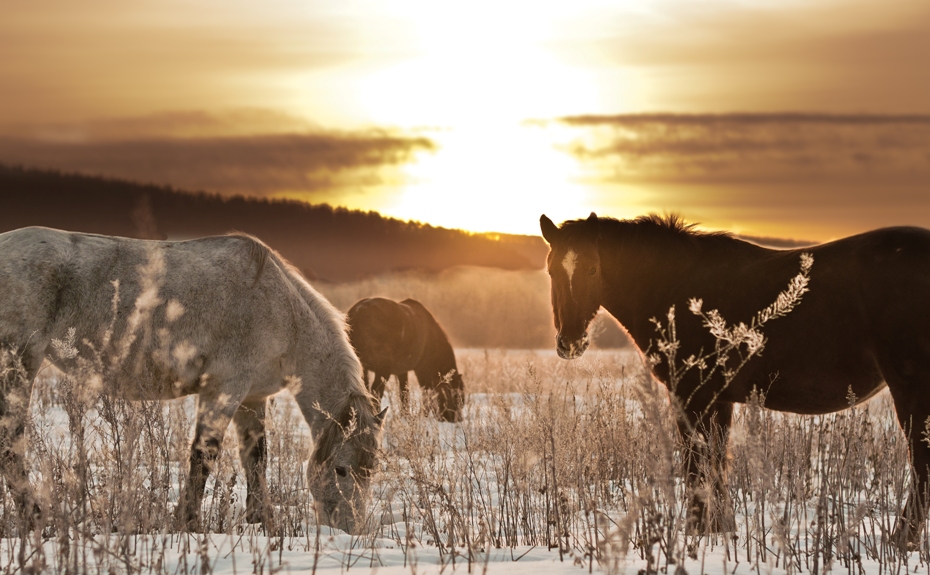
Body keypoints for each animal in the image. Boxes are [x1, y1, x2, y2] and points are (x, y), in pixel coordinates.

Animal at [0, 226, 384, 536]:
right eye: (341, 470)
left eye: (372, 471)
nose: (349, 530)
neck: (279, 308)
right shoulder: (224, 389)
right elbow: (204, 456)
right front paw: (189, 523)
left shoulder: (252, 398)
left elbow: (256, 458)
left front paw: (261, 521)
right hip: (19, 362)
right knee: (10, 443)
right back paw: (33, 519)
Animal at [346, 296, 462, 424]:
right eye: (456, 395)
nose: (457, 419)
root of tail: (357, 313)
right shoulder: (422, 371)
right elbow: (426, 393)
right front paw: (423, 415)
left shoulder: (402, 371)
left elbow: (404, 394)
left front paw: (405, 416)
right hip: (383, 369)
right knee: (375, 392)